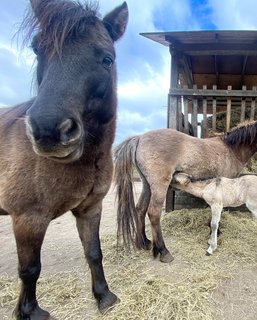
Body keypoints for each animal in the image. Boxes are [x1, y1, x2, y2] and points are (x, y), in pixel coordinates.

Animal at [0, 1, 128, 318]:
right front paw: (29, 311)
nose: (47, 130)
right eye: (38, 50)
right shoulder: (28, 218)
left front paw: (104, 296)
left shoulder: (90, 208)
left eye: (107, 59)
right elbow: (29, 269)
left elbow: (93, 252)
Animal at [114, 122, 257, 262]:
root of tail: (140, 138)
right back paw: (164, 251)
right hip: (159, 185)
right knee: (153, 213)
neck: (231, 149)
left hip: (147, 185)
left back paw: (144, 242)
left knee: (140, 209)